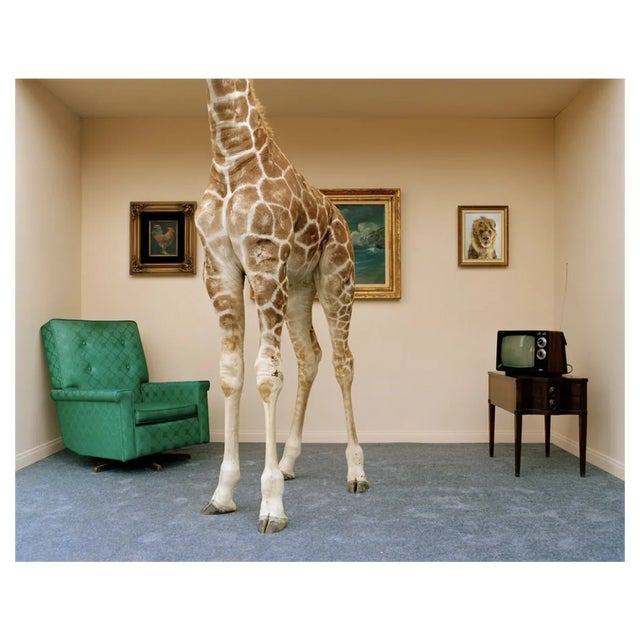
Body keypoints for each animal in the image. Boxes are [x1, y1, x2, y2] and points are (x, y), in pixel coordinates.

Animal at [195, 79, 369, 533]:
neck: (230, 154)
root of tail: (342, 221)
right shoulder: (218, 269)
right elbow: (230, 375)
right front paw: (222, 493)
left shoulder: (265, 258)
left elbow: (267, 376)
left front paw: (271, 506)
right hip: (298, 290)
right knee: (311, 355)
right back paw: (290, 462)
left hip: (337, 280)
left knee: (343, 361)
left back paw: (357, 472)